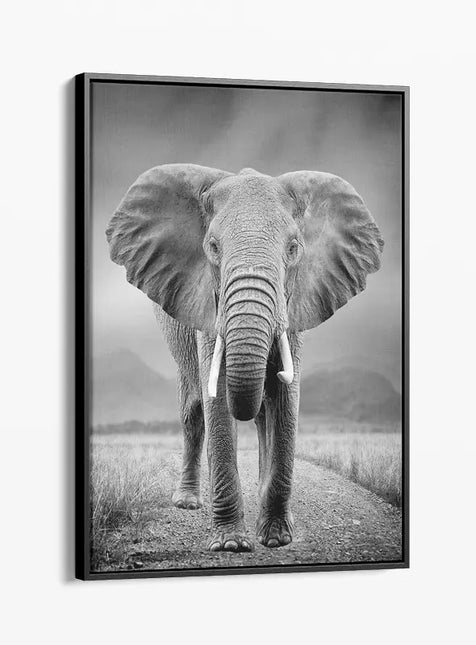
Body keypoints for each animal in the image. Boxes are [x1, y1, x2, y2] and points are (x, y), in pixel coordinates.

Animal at [106, 164, 384, 552]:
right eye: (212, 247)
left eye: (294, 248)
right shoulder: (208, 306)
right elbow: (219, 400)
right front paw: (231, 545)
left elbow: (285, 400)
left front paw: (277, 538)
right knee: (192, 413)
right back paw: (188, 502)